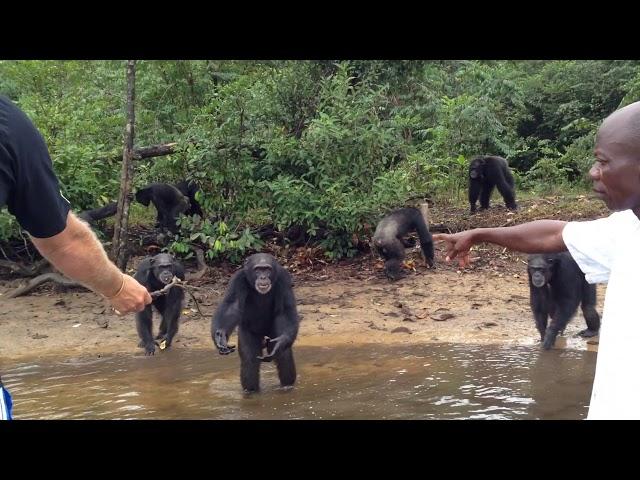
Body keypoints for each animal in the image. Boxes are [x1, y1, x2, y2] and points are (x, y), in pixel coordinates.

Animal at [210, 253, 300, 392]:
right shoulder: (238, 280)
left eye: (267, 269)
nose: (263, 277)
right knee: (250, 360)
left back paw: (287, 386)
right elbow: (232, 306)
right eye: (258, 269)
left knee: (284, 356)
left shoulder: (284, 279)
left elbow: (285, 310)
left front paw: (280, 343)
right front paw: (221, 336)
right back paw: (251, 391)